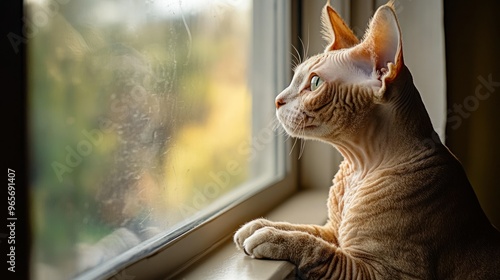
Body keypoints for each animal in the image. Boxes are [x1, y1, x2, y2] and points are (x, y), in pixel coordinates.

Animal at [234, 2, 500, 280]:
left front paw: (272, 238)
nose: (277, 100)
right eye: (295, 78)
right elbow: (307, 229)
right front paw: (260, 225)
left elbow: (319, 249)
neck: (357, 169)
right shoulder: (333, 230)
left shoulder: (383, 272)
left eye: (315, 82)